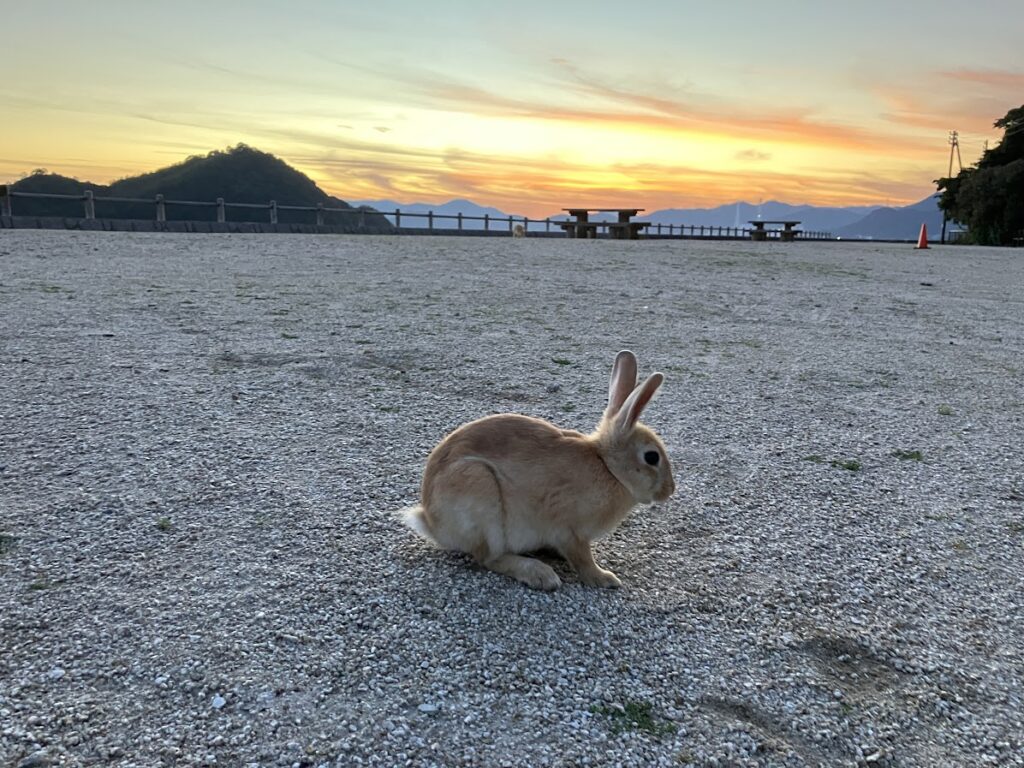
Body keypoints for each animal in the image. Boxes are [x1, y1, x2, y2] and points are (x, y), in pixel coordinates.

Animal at [403, 352, 675, 593]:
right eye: (652, 457)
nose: (670, 490)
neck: (608, 467)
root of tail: (433, 523)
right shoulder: (570, 530)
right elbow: (583, 559)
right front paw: (604, 578)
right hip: (481, 495)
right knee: (489, 558)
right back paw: (540, 575)